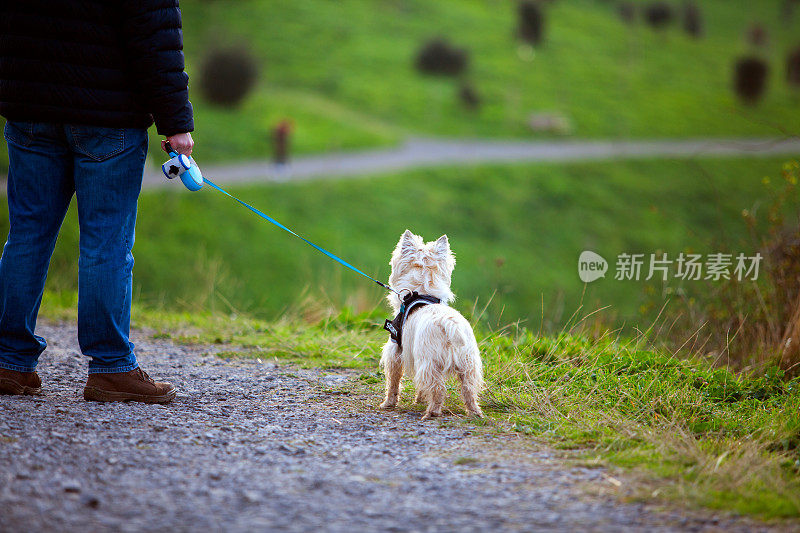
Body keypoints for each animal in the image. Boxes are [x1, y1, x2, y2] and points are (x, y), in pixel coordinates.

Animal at [380, 231, 484, 418]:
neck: (421, 293)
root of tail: (450, 324)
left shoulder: (395, 350)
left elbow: (393, 382)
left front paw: (388, 403)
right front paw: (419, 399)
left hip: (429, 362)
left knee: (437, 389)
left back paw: (432, 412)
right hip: (468, 365)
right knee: (469, 390)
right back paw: (475, 412)